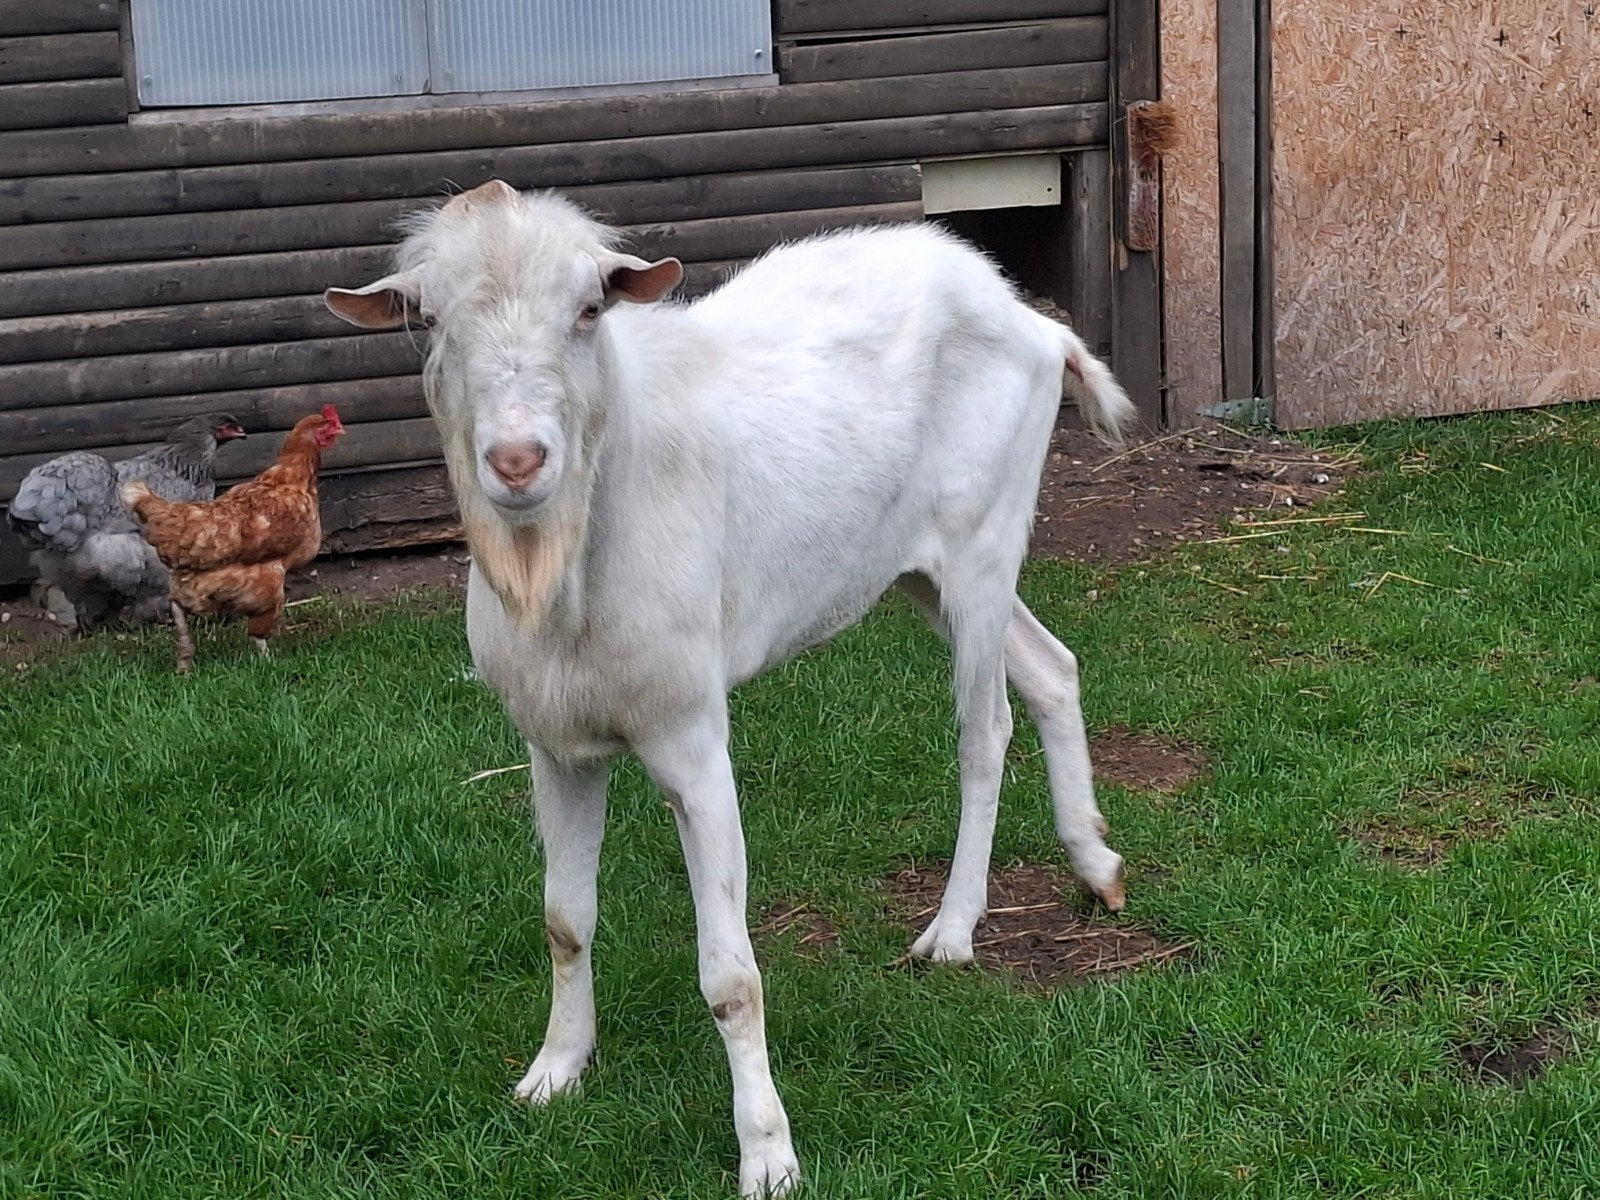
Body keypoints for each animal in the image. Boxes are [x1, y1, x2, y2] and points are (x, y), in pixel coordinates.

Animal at [326, 180, 1136, 1197]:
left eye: (588, 309)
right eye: (428, 319)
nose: (517, 461)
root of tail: (1033, 319)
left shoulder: (692, 740)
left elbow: (731, 977)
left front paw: (768, 1155)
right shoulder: (554, 744)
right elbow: (563, 920)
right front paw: (554, 1071)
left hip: (984, 535)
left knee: (984, 722)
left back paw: (952, 931)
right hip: (918, 569)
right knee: (1051, 668)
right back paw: (1095, 864)